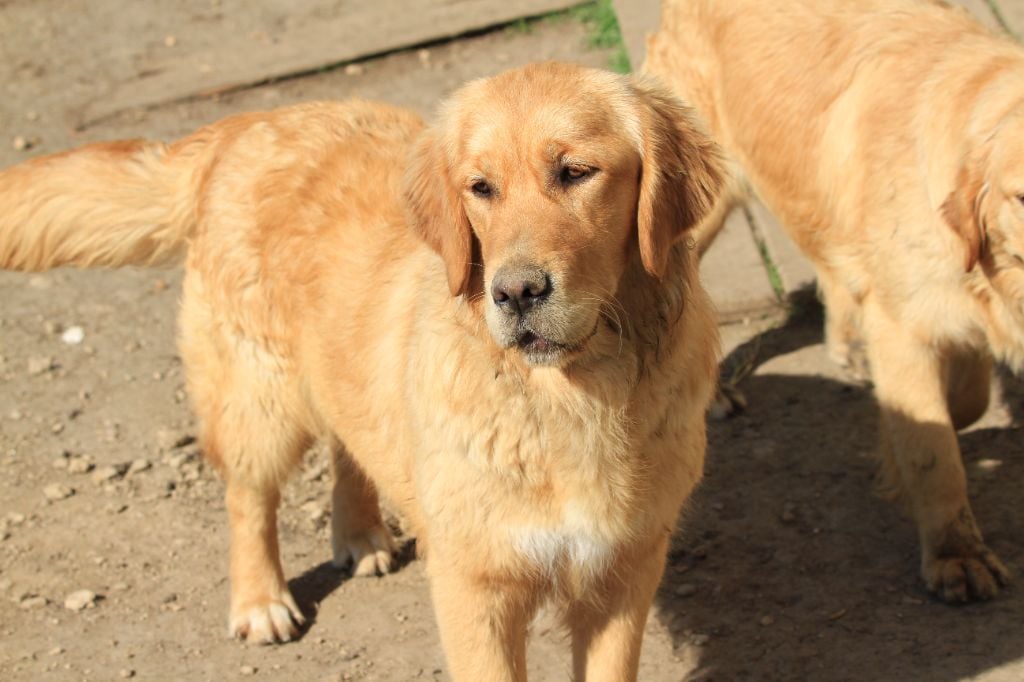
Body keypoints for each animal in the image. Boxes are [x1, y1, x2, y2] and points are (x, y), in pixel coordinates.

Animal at [0, 61, 724, 675]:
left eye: (576, 172)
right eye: (481, 188)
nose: (516, 293)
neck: (570, 394)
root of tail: (241, 126)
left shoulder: (623, 575)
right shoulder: (475, 588)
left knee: (350, 442)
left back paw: (360, 531)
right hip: (260, 398)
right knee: (248, 496)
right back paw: (260, 600)